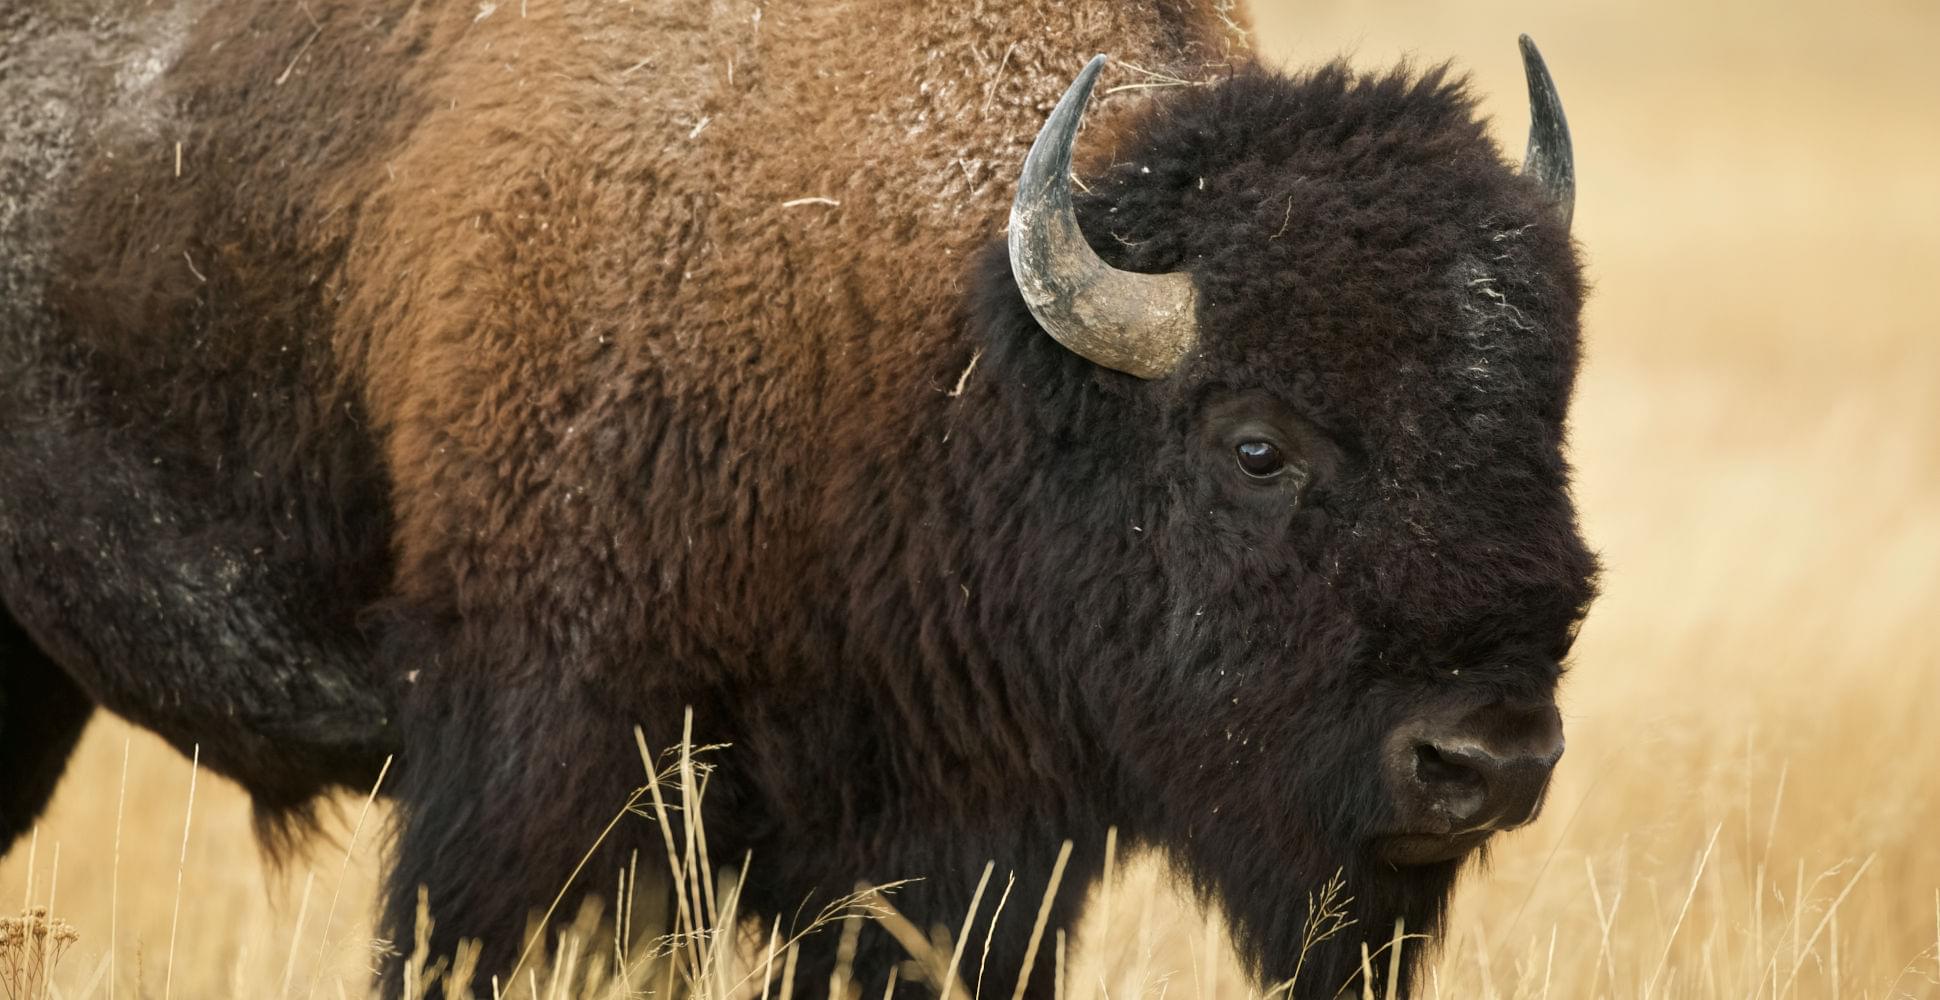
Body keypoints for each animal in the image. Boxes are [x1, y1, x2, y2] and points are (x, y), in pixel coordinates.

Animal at [0, 1, 1597, 996]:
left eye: (1544, 418)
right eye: (1256, 447)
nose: (1486, 760)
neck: (940, 333)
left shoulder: (952, 847)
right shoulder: (527, 777)